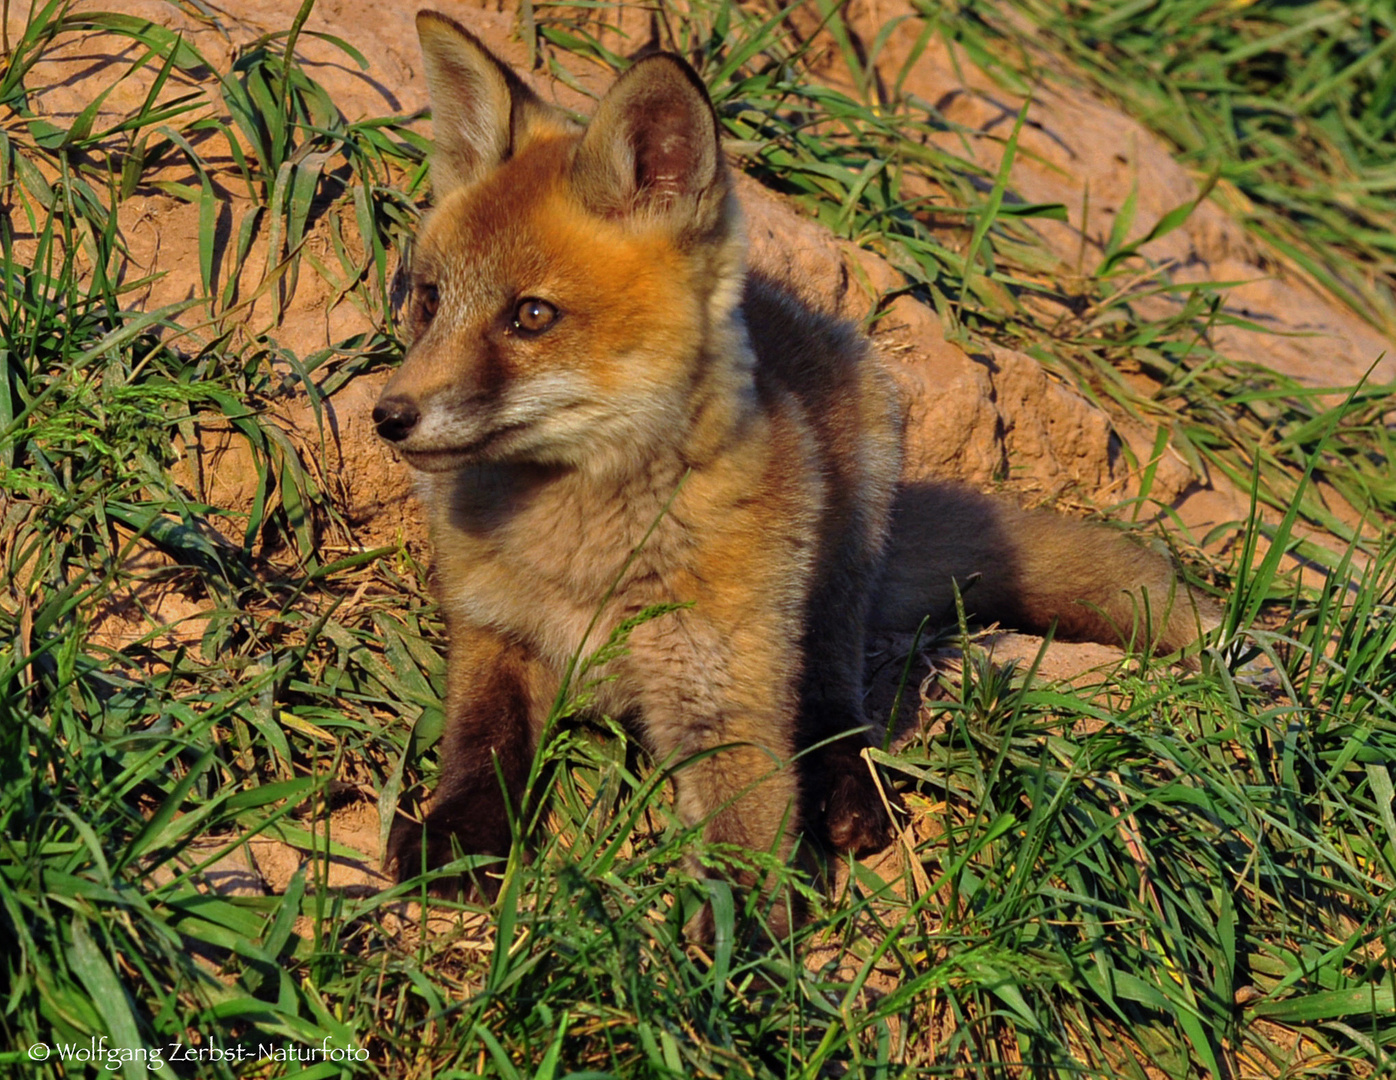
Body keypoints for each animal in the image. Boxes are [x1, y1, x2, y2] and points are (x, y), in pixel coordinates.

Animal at [376, 10, 1217, 937]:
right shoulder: (491, 627)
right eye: (427, 300)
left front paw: (726, 961)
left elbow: (747, 848)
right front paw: (457, 838)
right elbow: (481, 738)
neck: (583, 556)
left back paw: (847, 793)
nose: (389, 416)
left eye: (531, 316)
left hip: (837, 559)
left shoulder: (726, 699)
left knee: (834, 696)